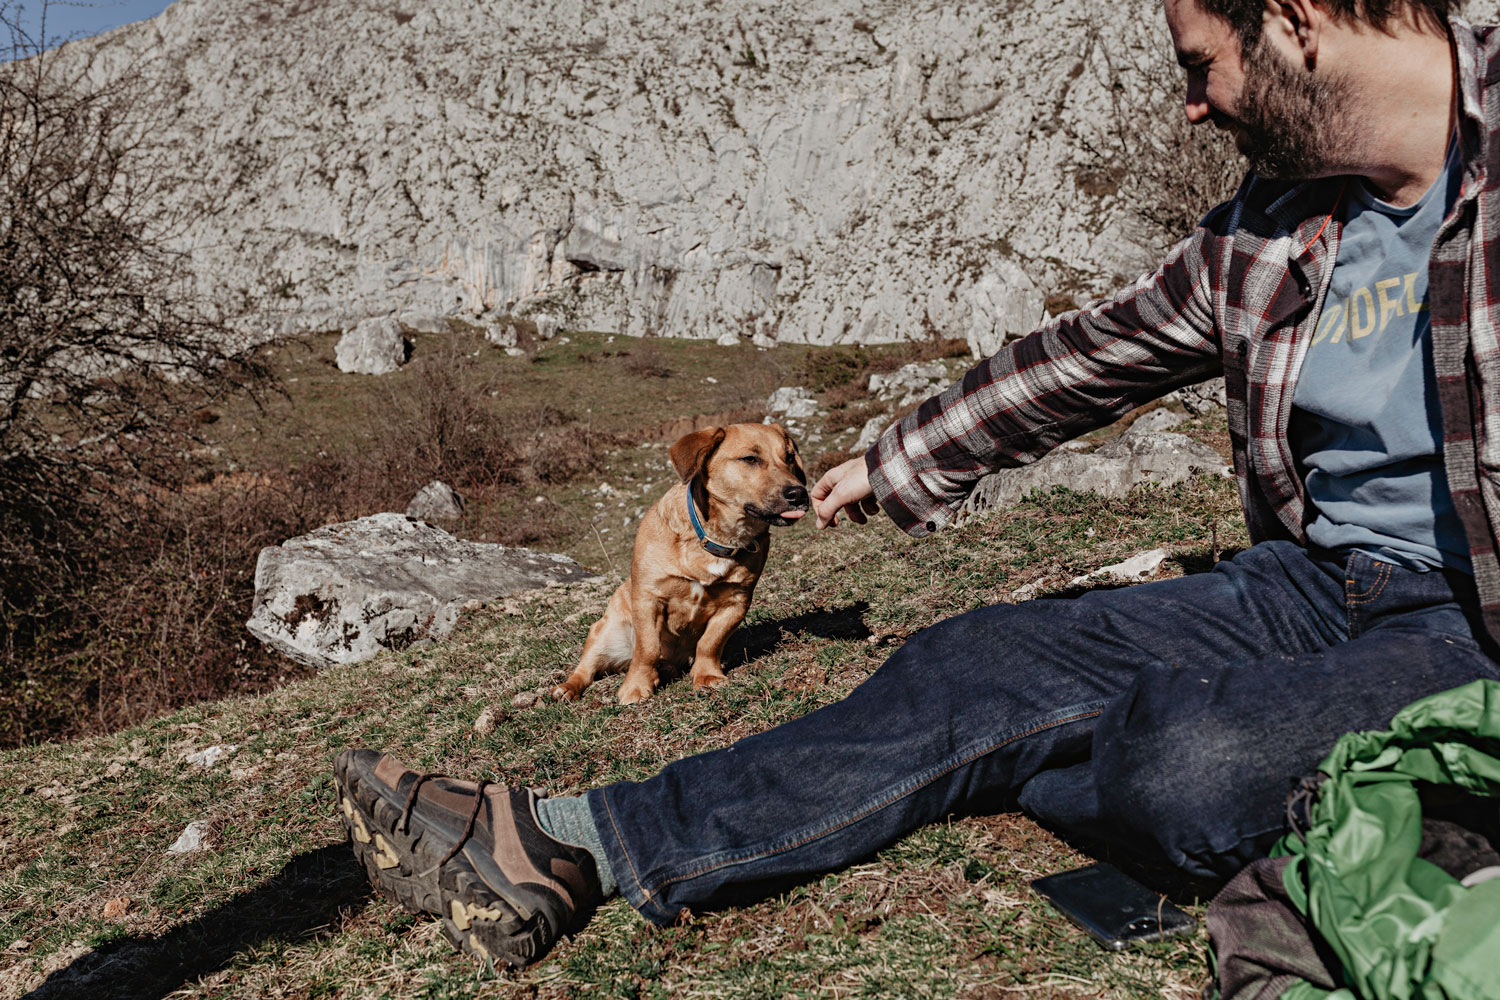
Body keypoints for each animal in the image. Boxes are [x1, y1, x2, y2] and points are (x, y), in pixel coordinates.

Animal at [552, 422, 810, 704]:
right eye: (750, 459)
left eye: (789, 457)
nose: (798, 493)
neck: (716, 539)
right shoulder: (648, 598)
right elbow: (647, 648)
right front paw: (636, 687)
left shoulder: (736, 603)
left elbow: (709, 643)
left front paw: (707, 676)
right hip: (605, 632)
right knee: (587, 667)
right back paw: (567, 687)